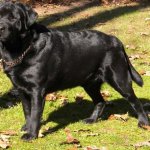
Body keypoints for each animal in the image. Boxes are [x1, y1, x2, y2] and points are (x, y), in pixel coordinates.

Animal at [0, 2, 149, 141]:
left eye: (13, 18)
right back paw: (91, 120)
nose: (1, 27)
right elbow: (27, 111)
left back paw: (143, 123)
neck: (22, 49)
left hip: (119, 79)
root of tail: (115, 40)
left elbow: (35, 114)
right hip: (90, 84)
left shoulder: (37, 90)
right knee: (100, 101)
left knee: (135, 101)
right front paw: (27, 127)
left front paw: (31, 134)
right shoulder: (22, 90)